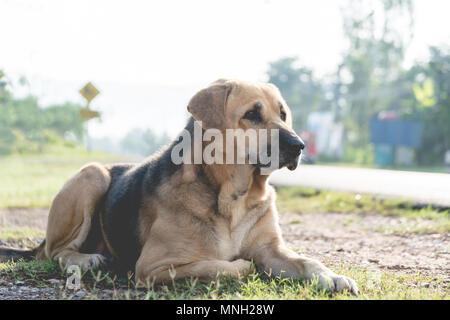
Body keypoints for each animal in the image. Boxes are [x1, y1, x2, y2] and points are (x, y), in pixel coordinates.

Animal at [11, 79, 358, 294]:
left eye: (283, 114)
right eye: (252, 114)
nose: (299, 146)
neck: (234, 195)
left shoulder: (271, 249)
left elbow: (308, 261)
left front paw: (333, 277)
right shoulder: (154, 266)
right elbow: (227, 266)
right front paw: (244, 265)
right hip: (93, 174)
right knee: (55, 252)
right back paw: (85, 259)